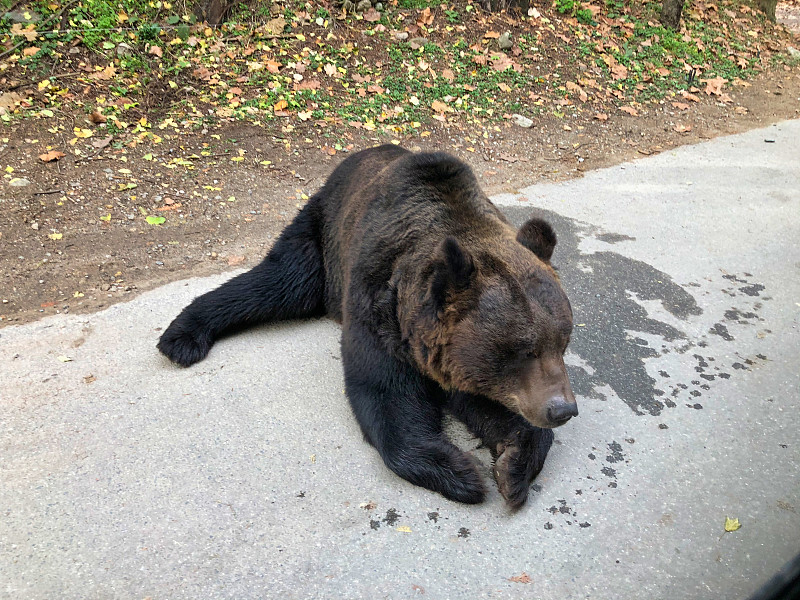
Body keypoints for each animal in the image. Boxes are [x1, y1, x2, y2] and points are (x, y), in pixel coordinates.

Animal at [158, 145, 576, 506]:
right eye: (524, 349)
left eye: (562, 341)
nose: (563, 409)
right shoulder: (375, 305)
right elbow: (385, 392)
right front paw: (461, 472)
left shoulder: (451, 355)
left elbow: (486, 400)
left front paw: (513, 465)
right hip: (323, 236)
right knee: (281, 281)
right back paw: (182, 337)